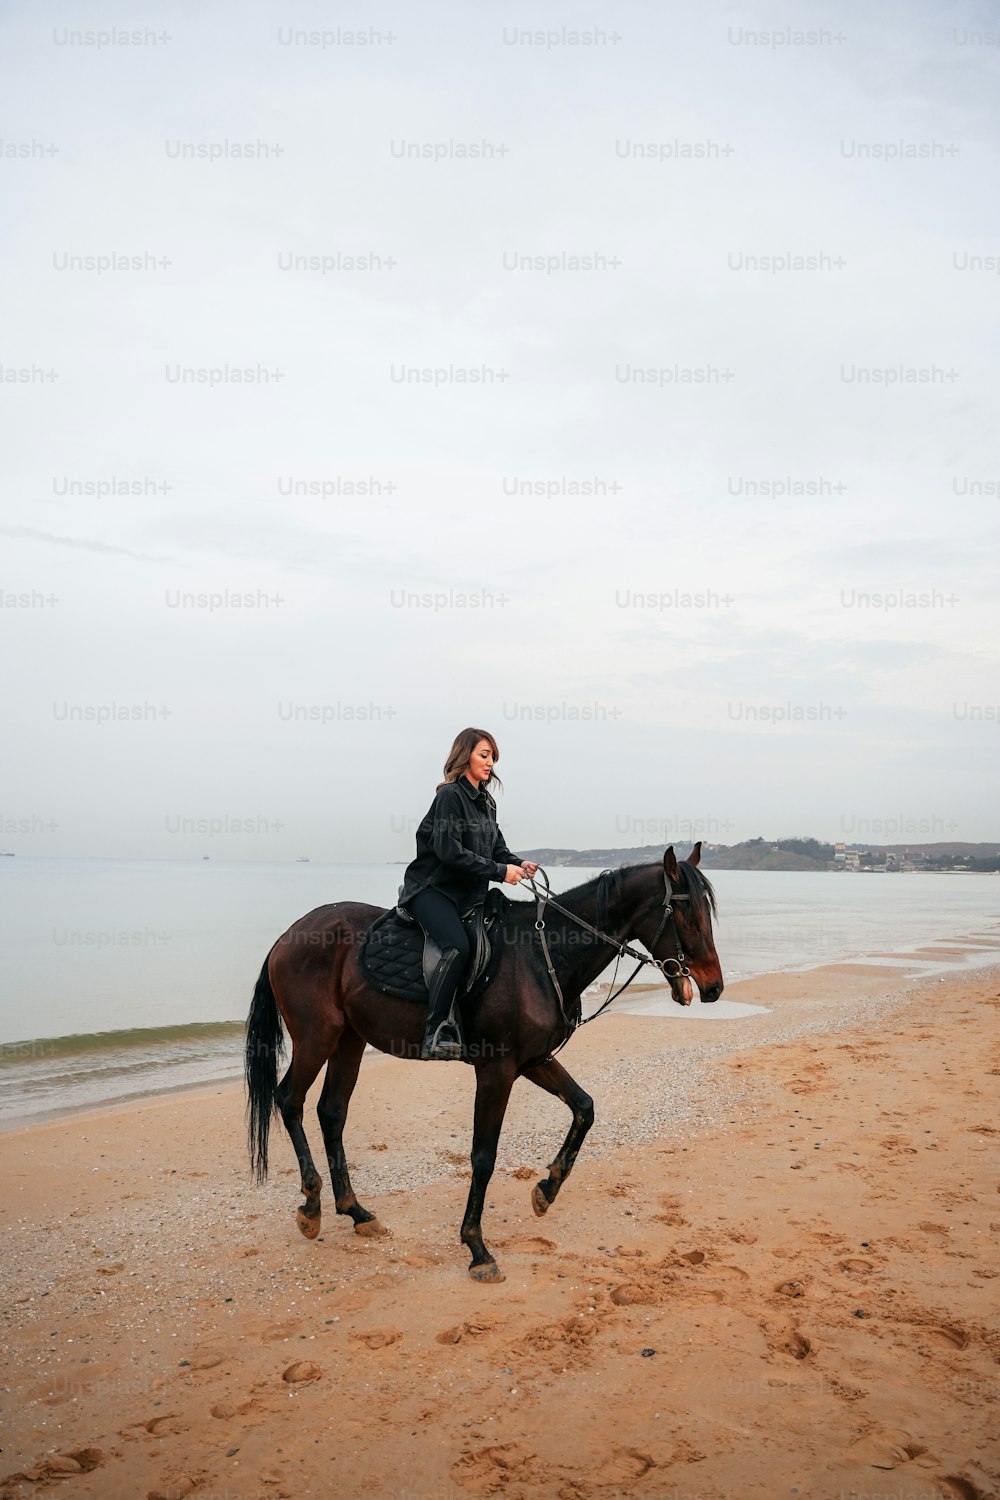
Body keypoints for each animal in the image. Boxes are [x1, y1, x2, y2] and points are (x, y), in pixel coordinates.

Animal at [245, 852, 722, 1284]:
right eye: (686, 913)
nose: (714, 987)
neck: (542, 956)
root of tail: (289, 935)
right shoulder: (496, 1070)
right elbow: (484, 1155)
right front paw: (477, 1247)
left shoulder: (533, 1061)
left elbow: (584, 1108)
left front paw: (547, 1188)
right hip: (317, 1037)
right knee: (290, 1100)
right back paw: (312, 1204)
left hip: (349, 1039)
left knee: (332, 1111)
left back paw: (356, 1212)